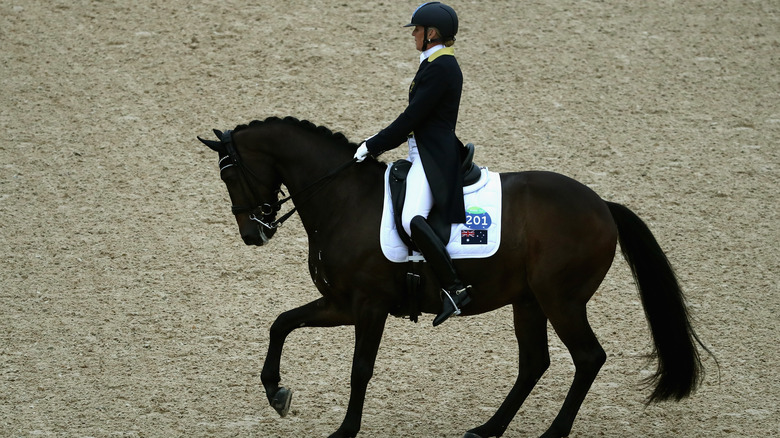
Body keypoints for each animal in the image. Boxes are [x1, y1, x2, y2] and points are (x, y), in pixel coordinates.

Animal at [198, 117, 708, 438]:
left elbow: (360, 368)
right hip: (529, 302)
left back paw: (551, 433)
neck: (344, 199)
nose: (253, 234)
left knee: (587, 358)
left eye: (229, 176)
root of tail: (603, 205)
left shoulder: (368, 305)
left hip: (561, 301)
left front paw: (344, 431)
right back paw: (488, 429)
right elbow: (281, 323)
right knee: (534, 363)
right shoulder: (341, 303)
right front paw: (276, 392)